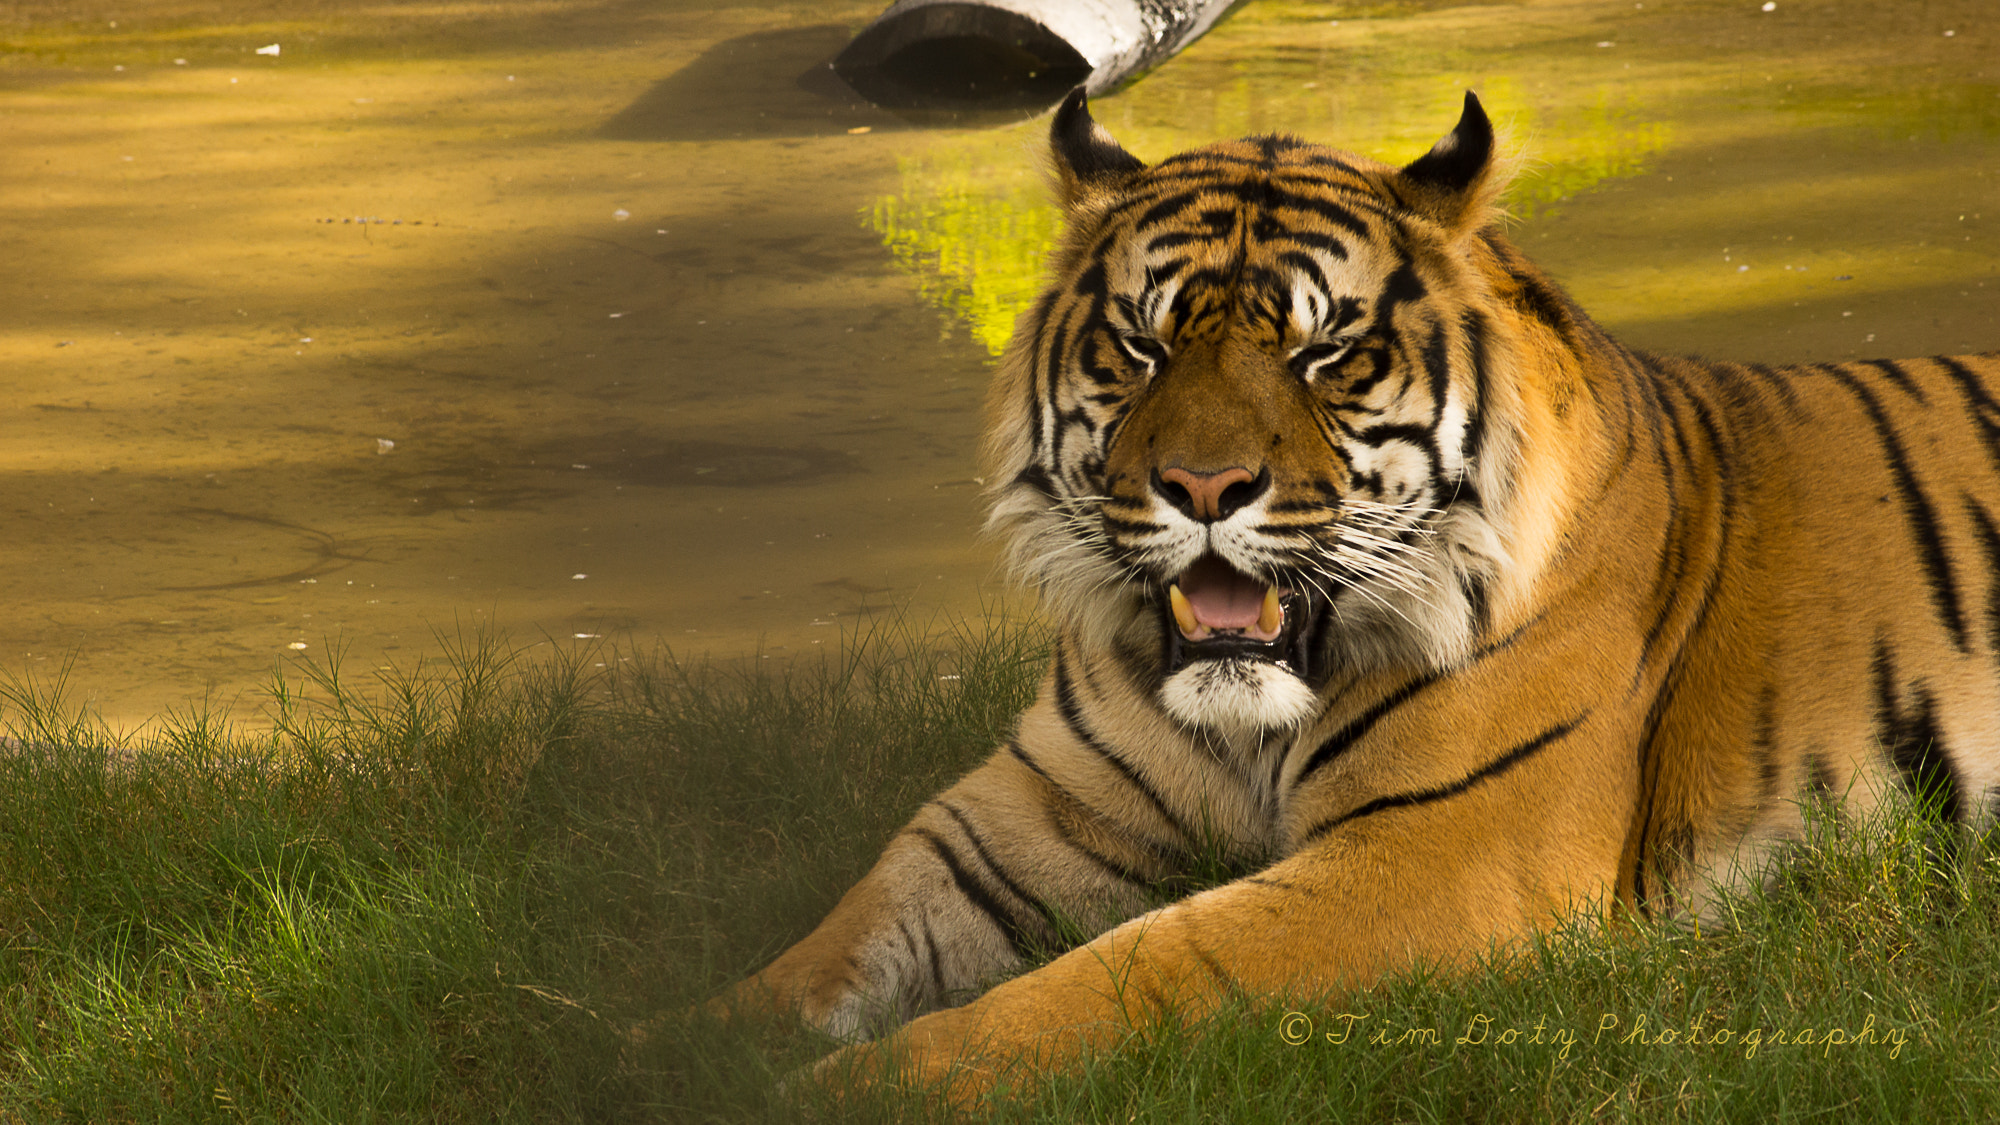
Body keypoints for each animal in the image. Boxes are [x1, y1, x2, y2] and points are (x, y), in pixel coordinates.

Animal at [723, 88, 2000, 1097]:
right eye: (1141, 347)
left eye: (1321, 352)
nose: (1202, 486)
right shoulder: (1016, 821)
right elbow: (827, 949)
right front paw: (695, 1047)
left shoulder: (1435, 856)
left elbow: (1127, 972)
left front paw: (851, 1090)